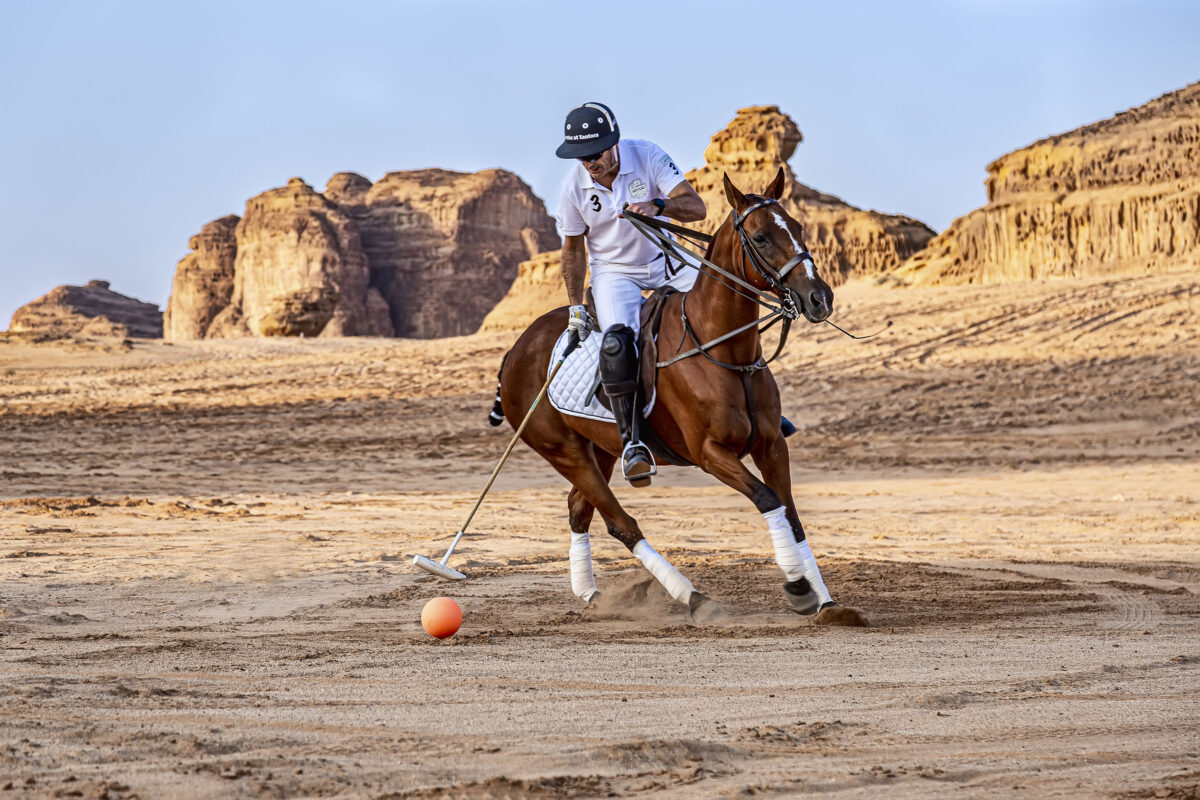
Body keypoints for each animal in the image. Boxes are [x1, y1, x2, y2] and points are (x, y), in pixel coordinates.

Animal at [492, 167, 859, 618]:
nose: (819, 298)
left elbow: (791, 513)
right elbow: (767, 498)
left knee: (579, 509)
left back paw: (592, 594)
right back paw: (692, 596)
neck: (725, 349)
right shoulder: (709, 453)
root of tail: (516, 350)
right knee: (619, 522)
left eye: (799, 228)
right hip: (562, 449)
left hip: (602, 448)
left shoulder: (772, 444)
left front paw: (827, 602)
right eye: (760, 238)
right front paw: (798, 588)